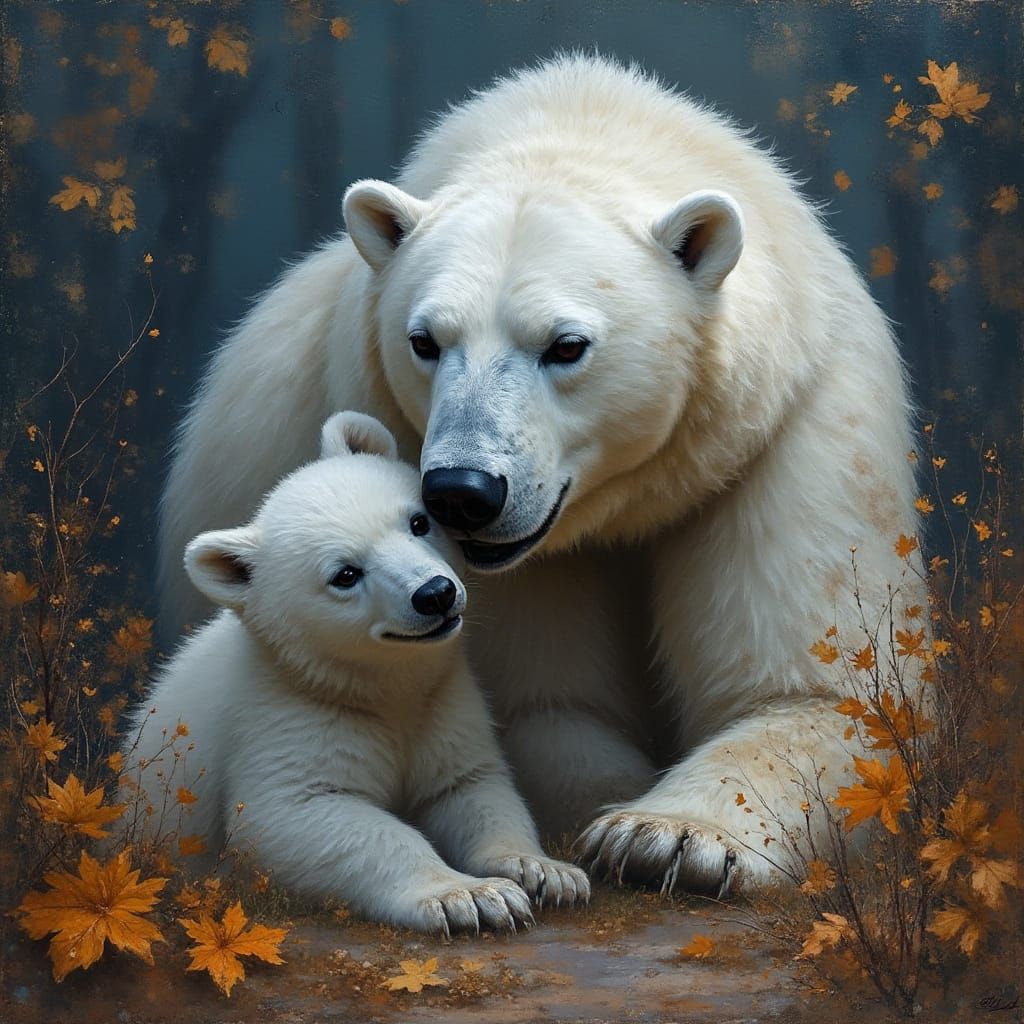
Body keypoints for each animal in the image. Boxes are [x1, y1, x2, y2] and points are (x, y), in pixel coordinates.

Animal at [126, 411, 589, 934]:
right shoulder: (286, 719)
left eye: (418, 521)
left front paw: (545, 871)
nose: (435, 593)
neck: (373, 685)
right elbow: (298, 816)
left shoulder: (443, 702)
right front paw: (469, 896)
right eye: (345, 574)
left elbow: (471, 787)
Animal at [158, 55, 923, 897]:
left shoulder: (782, 436)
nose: (463, 493)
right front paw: (609, 810)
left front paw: (665, 837)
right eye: (425, 340)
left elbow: (826, 692)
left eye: (566, 345)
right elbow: (539, 707)